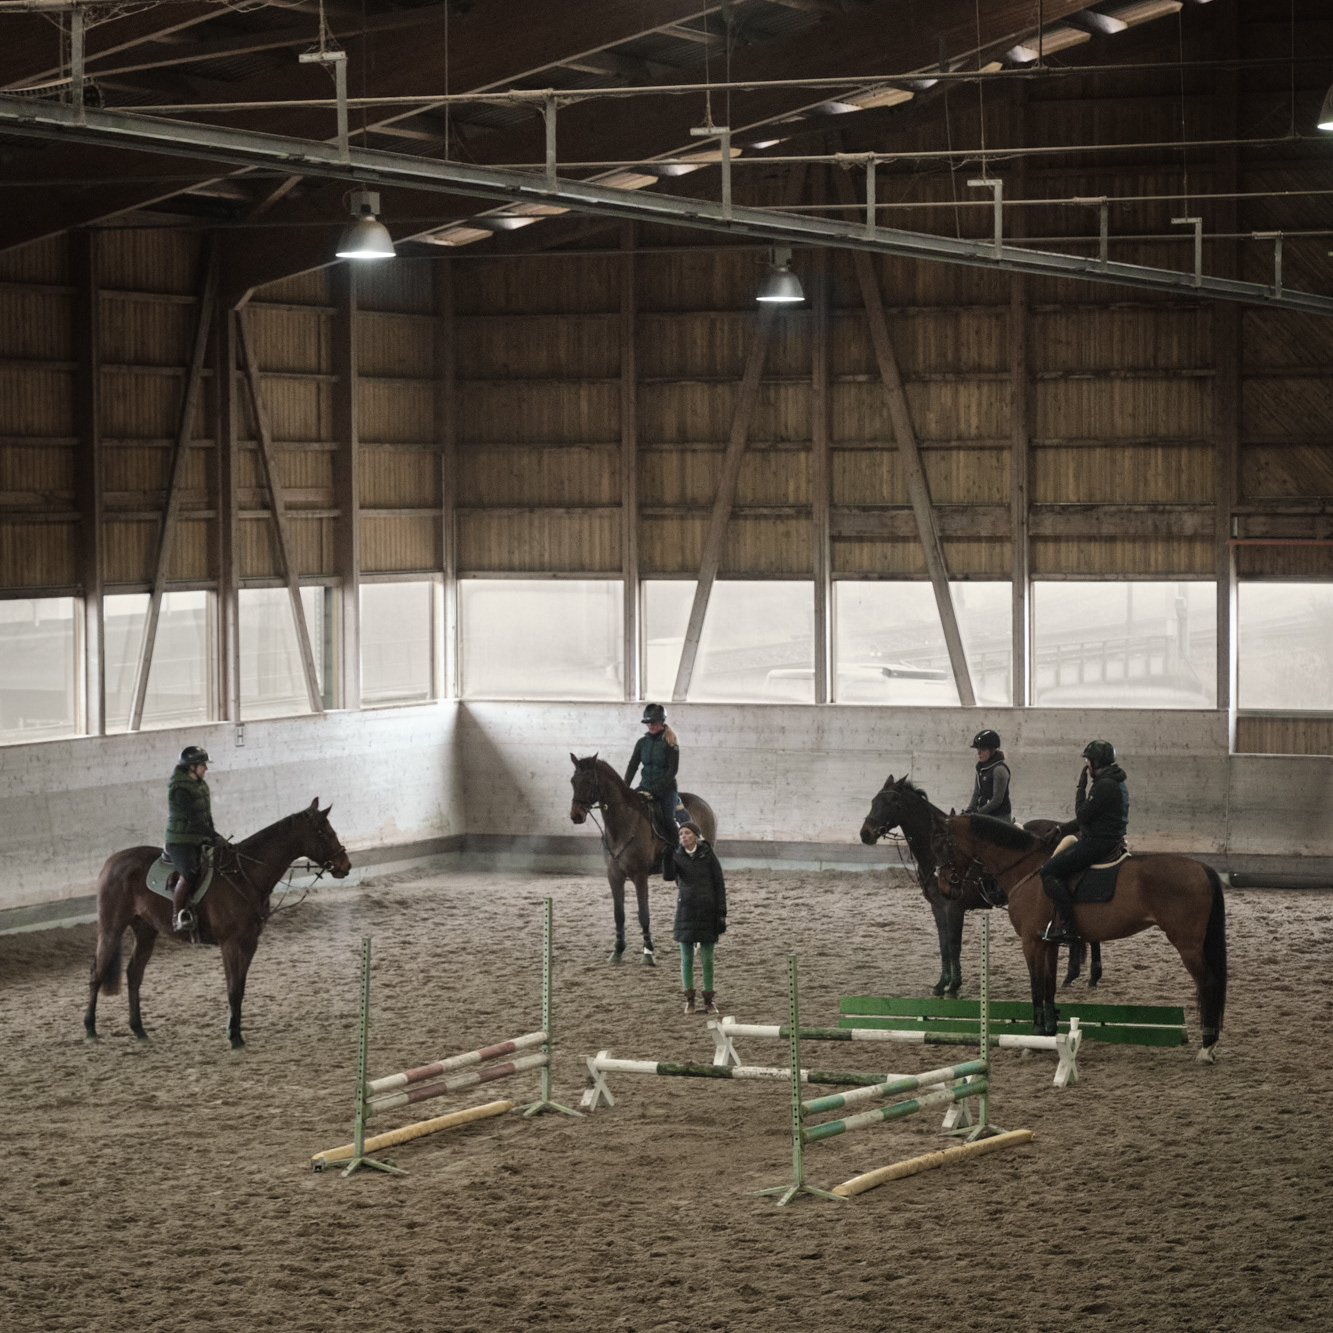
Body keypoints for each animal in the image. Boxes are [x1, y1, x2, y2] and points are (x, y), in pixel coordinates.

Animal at [84, 799, 351, 1048]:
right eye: (324, 832)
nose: (345, 866)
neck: (246, 874)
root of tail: (111, 862)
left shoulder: (249, 943)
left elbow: (240, 989)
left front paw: (235, 1032)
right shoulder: (230, 944)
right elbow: (232, 990)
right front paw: (235, 1038)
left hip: (146, 931)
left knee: (134, 974)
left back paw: (139, 1030)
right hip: (111, 928)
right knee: (97, 972)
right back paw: (90, 1030)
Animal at [569, 754, 716, 965]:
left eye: (588, 781)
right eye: (573, 781)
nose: (576, 815)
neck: (623, 823)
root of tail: (704, 804)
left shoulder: (640, 876)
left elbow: (643, 914)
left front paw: (648, 951)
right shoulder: (614, 876)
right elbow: (619, 915)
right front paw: (618, 950)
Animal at [859, 774, 1102, 997]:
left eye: (892, 801)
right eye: (873, 801)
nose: (865, 833)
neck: (939, 854)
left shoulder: (954, 908)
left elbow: (953, 945)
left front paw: (954, 986)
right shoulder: (938, 907)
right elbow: (943, 946)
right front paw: (941, 984)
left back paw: (1087, 976)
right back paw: (1078, 976)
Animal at [937, 813, 1226, 1058]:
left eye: (944, 844)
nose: (944, 886)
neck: (1028, 869)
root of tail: (1202, 868)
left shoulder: (1031, 943)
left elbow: (1036, 987)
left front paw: (1034, 1038)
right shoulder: (1048, 943)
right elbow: (1049, 986)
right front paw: (1049, 1032)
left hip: (1187, 945)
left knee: (1208, 983)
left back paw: (1207, 1046)